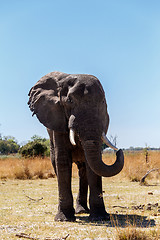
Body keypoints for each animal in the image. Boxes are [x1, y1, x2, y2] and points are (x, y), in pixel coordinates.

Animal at [28, 71, 124, 221]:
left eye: (103, 102)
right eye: (70, 101)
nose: (119, 151)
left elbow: (92, 166)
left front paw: (100, 217)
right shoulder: (57, 119)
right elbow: (62, 161)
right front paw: (63, 219)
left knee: (83, 170)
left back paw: (82, 210)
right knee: (57, 164)